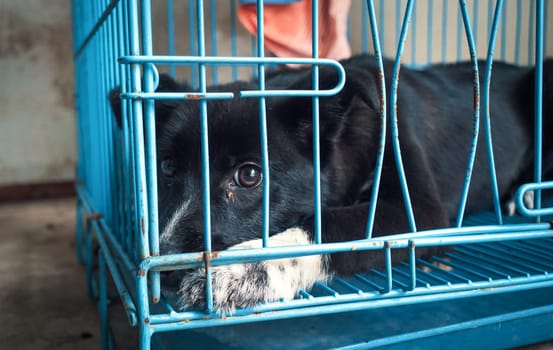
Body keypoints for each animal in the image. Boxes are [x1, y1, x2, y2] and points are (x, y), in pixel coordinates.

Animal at [109, 55, 552, 314]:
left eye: (249, 175)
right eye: (167, 167)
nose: (164, 271)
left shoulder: (424, 214)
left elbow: (330, 226)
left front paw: (241, 270)